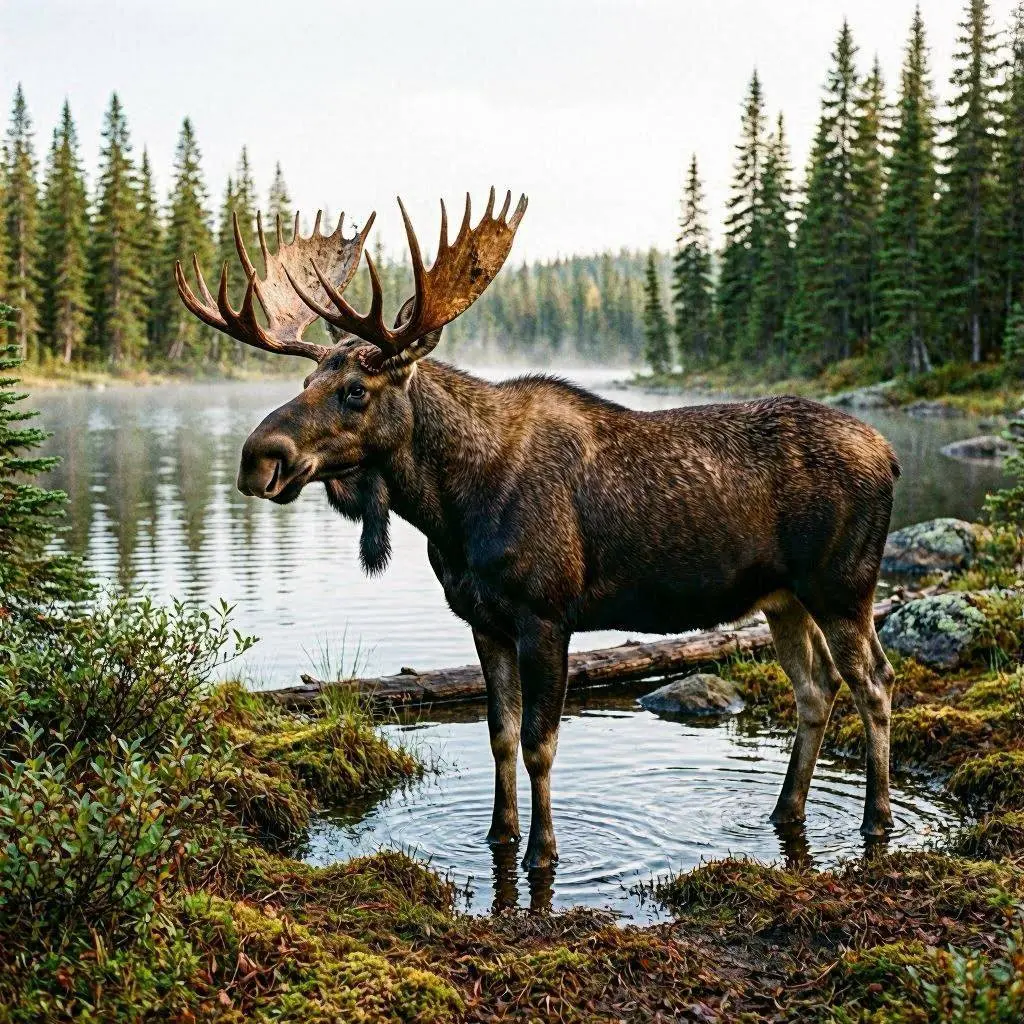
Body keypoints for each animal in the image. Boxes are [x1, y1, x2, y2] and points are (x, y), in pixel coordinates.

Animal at [176, 190, 901, 870]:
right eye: (306, 377)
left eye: (356, 389)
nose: (258, 457)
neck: (452, 509)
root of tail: (890, 455)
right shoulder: (484, 620)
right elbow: (500, 735)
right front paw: (499, 835)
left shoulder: (547, 615)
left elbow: (539, 743)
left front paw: (543, 852)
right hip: (784, 598)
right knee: (816, 689)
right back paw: (786, 811)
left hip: (843, 587)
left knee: (875, 682)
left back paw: (876, 819)